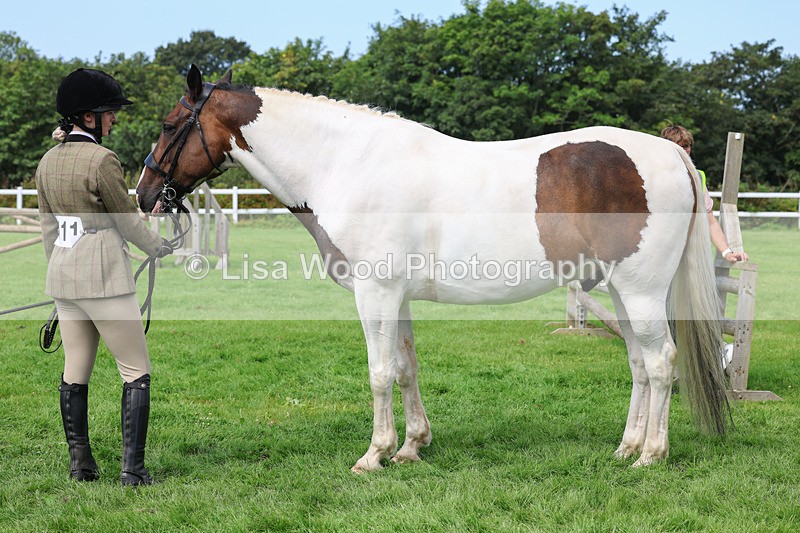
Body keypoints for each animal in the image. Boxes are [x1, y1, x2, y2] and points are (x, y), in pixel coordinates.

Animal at [136, 65, 731, 472]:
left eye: (169, 125)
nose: (143, 195)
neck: (346, 164)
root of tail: (670, 154)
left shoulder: (374, 293)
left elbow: (378, 372)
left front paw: (374, 454)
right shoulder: (395, 296)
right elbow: (406, 368)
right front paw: (411, 447)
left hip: (642, 290)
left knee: (661, 362)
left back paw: (652, 454)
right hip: (621, 293)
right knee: (638, 364)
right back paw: (627, 447)